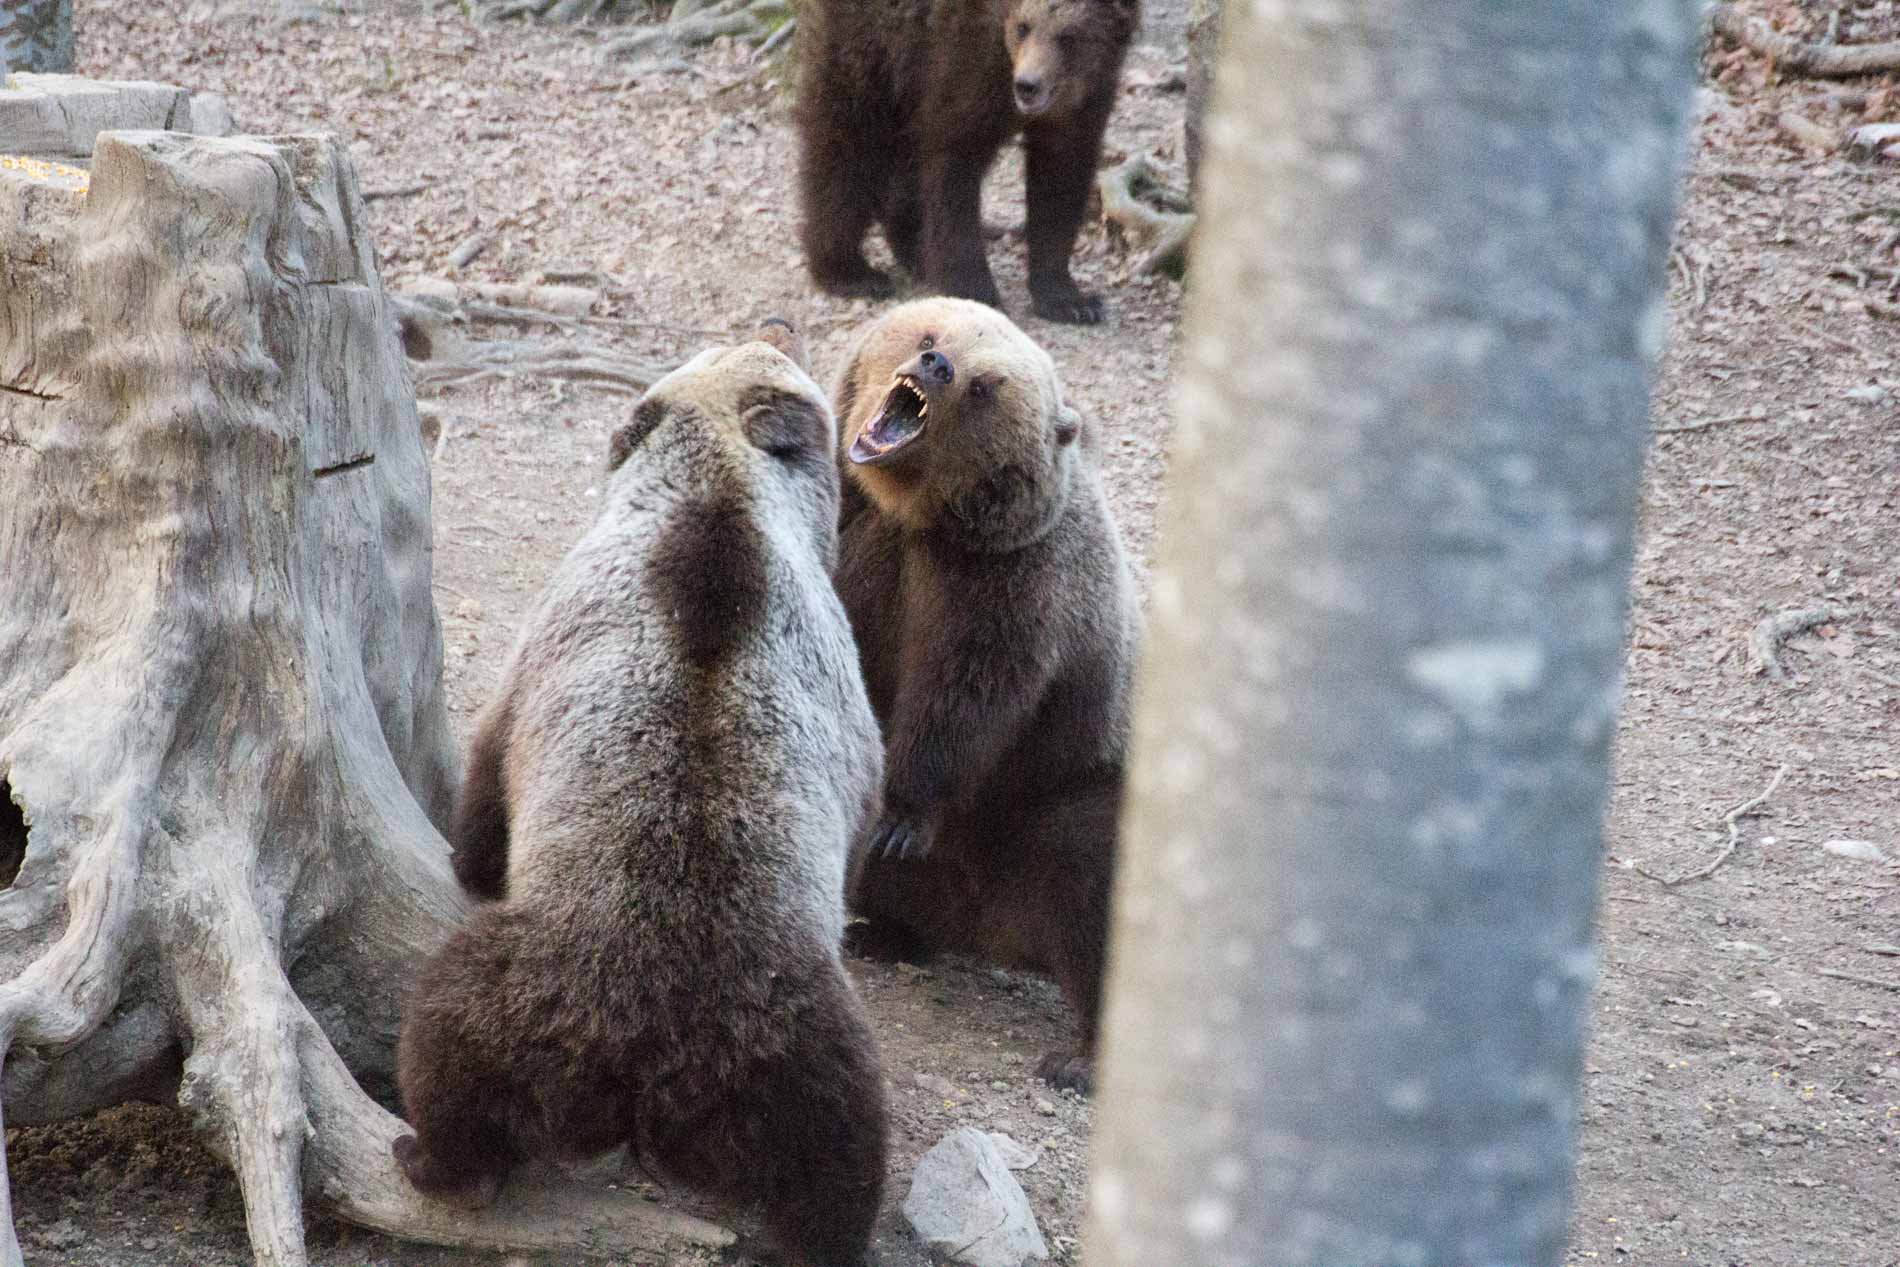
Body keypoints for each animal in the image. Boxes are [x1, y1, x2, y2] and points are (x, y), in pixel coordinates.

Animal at [391, 319, 889, 1267]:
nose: (779, 323)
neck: (721, 493)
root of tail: (653, 1061)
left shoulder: (534, 666)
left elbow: (486, 796)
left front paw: (467, 850)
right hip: (796, 1044)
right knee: (839, 1148)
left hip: (557, 987)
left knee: (450, 1038)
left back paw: (432, 1152)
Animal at [798, 0, 1140, 324]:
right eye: (1023, 27)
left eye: (1068, 36)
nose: (1027, 85)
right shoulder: (963, 67)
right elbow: (952, 170)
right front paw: (974, 289)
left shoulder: (1083, 106)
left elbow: (1059, 185)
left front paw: (1071, 301)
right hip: (870, 45)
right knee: (844, 145)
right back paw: (850, 271)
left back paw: (914, 251)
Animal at [824, 300, 1132, 1094]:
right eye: (931, 335)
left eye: (987, 384)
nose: (935, 366)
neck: (915, 516)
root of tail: (994, 932)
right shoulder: (857, 531)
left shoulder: (1008, 586)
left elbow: (964, 697)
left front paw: (901, 815)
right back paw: (883, 931)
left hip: (1057, 798)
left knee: (1091, 875)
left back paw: (1080, 1058)